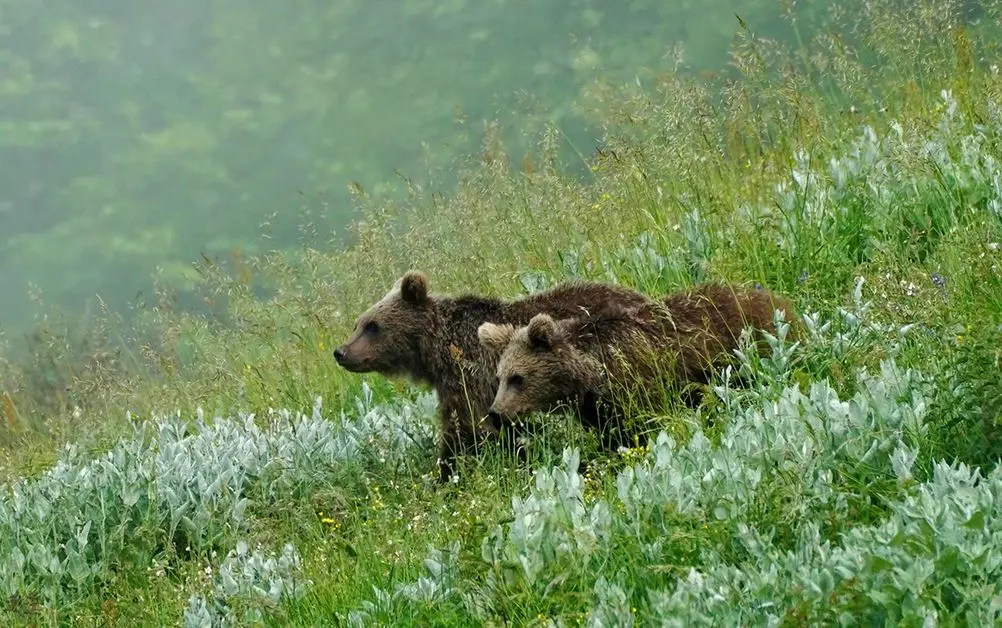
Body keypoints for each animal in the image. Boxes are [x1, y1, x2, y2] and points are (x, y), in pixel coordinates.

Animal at [334, 270, 657, 480]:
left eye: (373, 325)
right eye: (357, 323)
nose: (341, 352)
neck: (436, 347)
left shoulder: (469, 372)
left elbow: (467, 429)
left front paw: (447, 475)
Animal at [476, 284, 797, 452]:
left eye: (518, 378)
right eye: (499, 377)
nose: (496, 413)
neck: (590, 374)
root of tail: (777, 299)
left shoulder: (635, 381)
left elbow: (644, 426)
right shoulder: (596, 407)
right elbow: (612, 438)